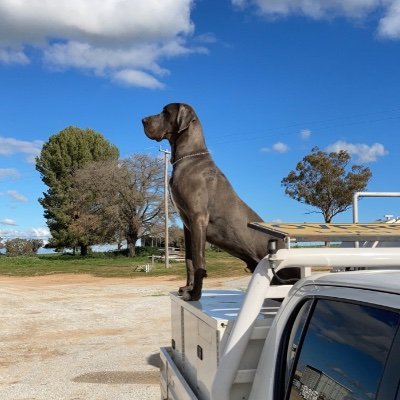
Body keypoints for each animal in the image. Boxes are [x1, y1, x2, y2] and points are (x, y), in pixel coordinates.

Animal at [142, 103, 286, 300]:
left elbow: (199, 259)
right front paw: (187, 288)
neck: (190, 157)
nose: (143, 120)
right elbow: (189, 259)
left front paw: (195, 294)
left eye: (166, 112)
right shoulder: (188, 225)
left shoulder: (198, 218)